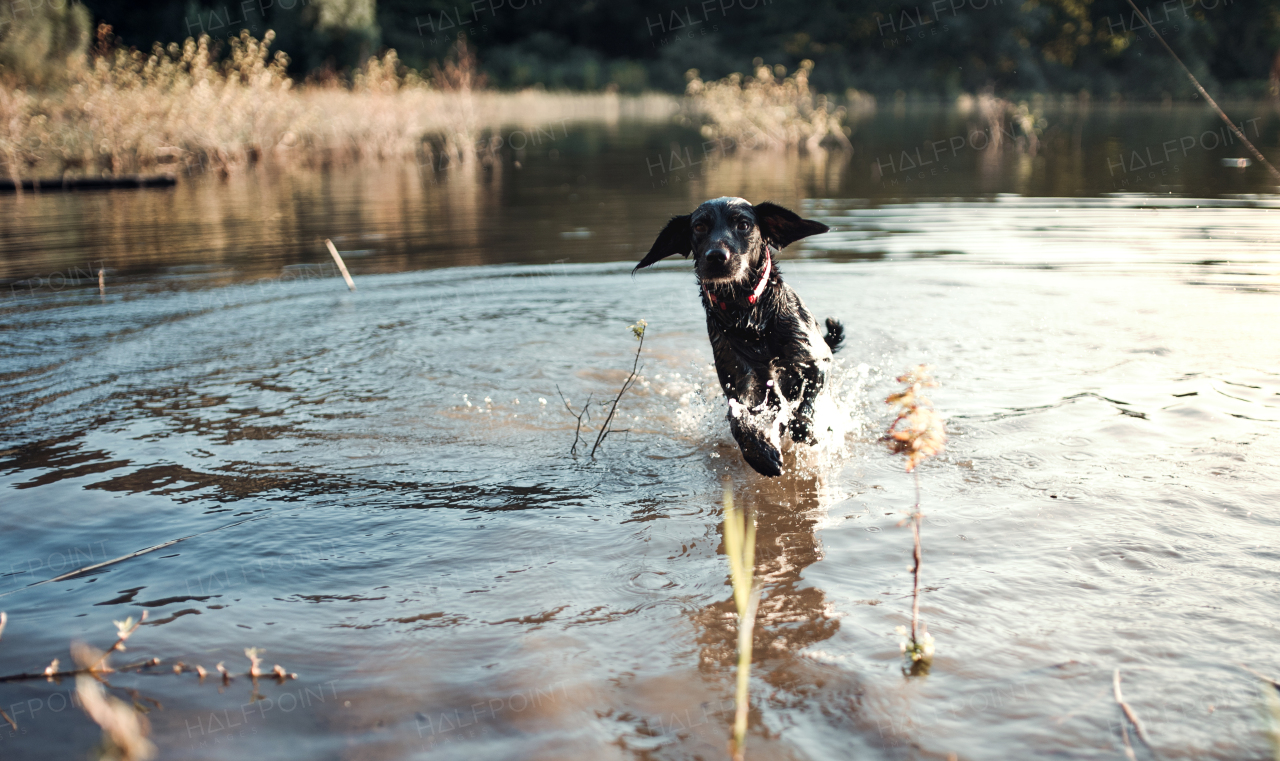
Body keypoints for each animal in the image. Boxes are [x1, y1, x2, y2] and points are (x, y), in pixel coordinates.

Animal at [637, 196, 839, 475]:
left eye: (743, 224)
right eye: (699, 227)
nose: (716, 256)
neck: (749, 315)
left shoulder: (816, 360)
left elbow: (807, 402)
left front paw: (804, 428)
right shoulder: (740, 378)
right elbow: (737, 418)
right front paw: (759, 453)